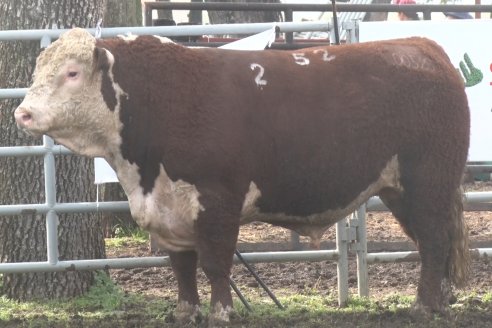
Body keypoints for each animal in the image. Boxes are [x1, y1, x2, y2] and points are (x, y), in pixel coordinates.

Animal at [13, 28, 470, 326]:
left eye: (72, 73)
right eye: (38, 70)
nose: (23, 113)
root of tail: (423, 48)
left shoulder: (218, 199)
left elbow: (216, 263)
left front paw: (221, 312)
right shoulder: (168, 208)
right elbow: (181, 266)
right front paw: (185, 312)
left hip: (427, 183)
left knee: (433, 241)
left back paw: (423, 307)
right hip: (403, 190)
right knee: (433, 242)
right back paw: (441, 301)